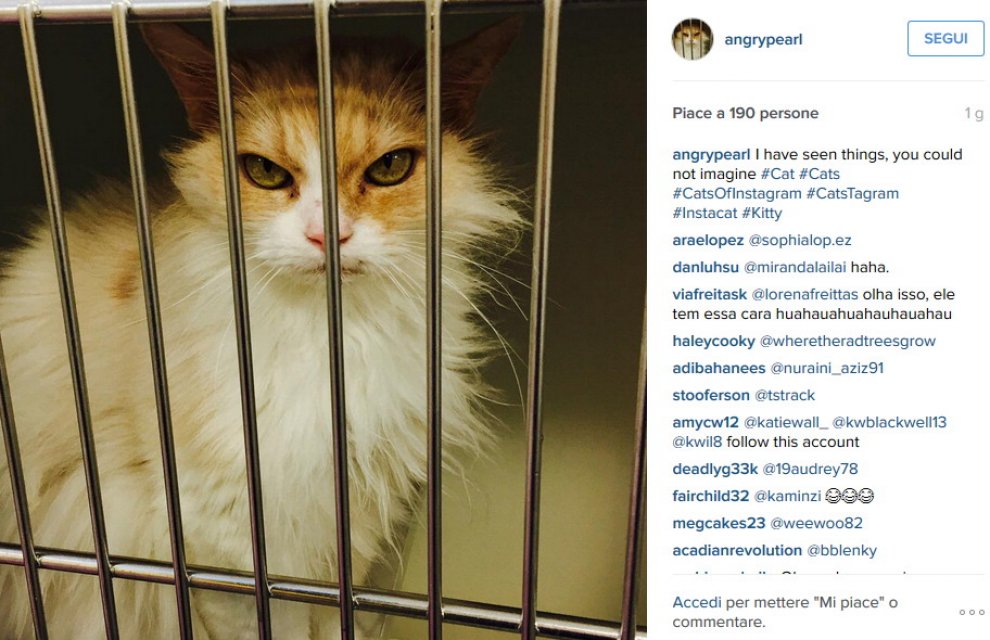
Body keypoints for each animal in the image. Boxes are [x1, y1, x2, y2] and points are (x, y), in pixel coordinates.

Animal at [0, 18, 522, 639]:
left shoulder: (351, 532)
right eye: (266, 173)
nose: (327, 234)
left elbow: (336, 617)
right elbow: (276, 626)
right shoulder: (227, 545)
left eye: (390, 168)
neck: (332, 343)